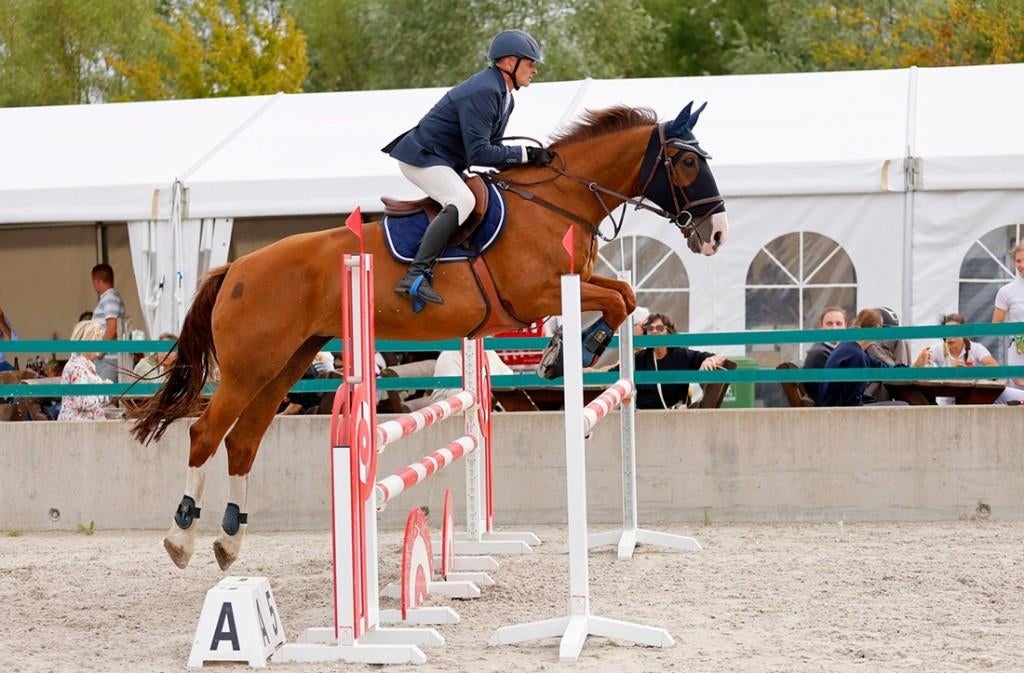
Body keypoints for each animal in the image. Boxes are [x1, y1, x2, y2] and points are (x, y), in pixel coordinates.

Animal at [132, 102, 729, 570]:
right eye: (688, 161)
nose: (717, 234)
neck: (558, 200)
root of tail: (234, 268)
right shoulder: (535, 294)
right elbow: (616, 301)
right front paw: (574, 352)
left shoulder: (575, 281)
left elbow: (624, 295)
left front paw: (564, 354)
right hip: (249, 367)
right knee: (205, 434)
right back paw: (181, 538)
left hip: (285, 364)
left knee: (243, 441)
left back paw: (230, 542)